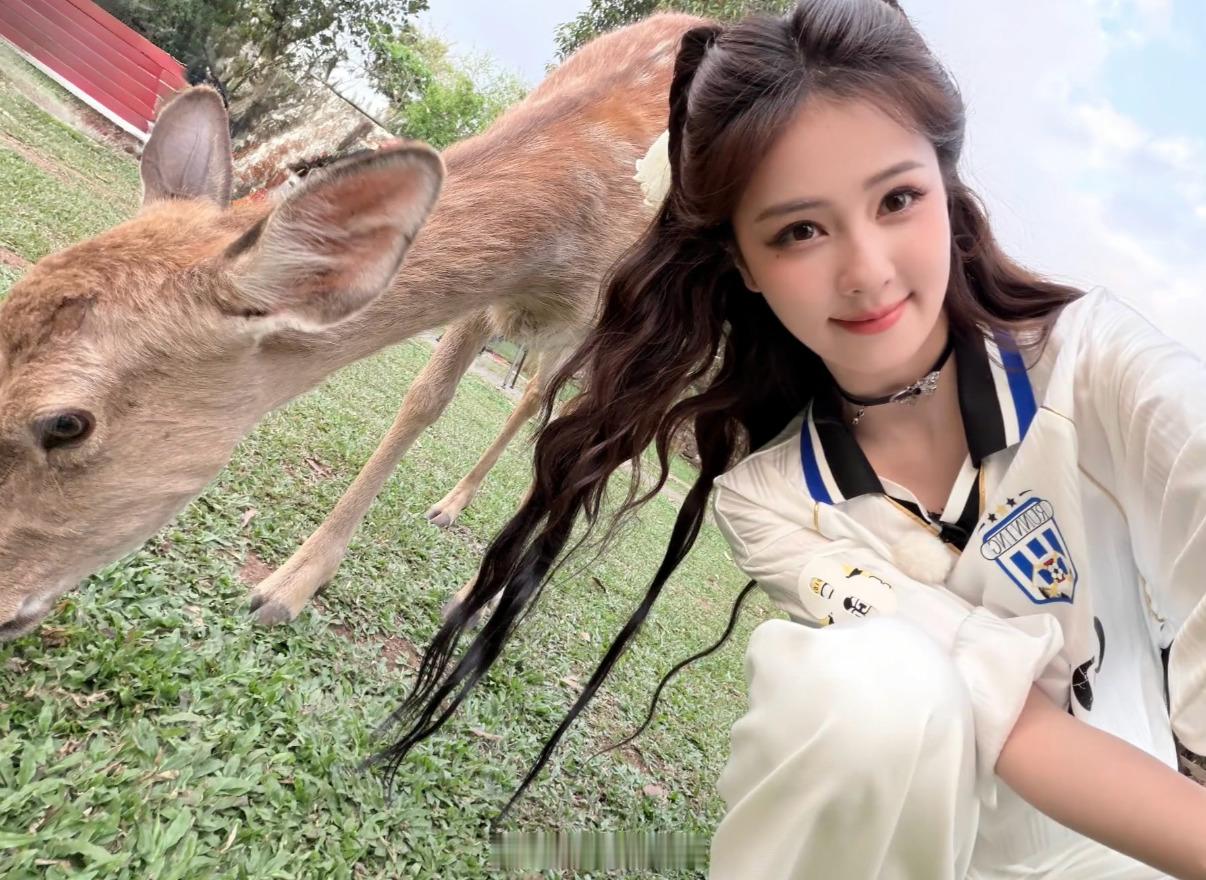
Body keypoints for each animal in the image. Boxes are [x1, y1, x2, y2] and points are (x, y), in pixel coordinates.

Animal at [0, 13, 701, 642]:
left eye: (66, 423)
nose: (2, 606)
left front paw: (462, 600)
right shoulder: (488, 298)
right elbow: (424, 398)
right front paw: (290, 585)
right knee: (531, 399)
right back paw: (450, 506)